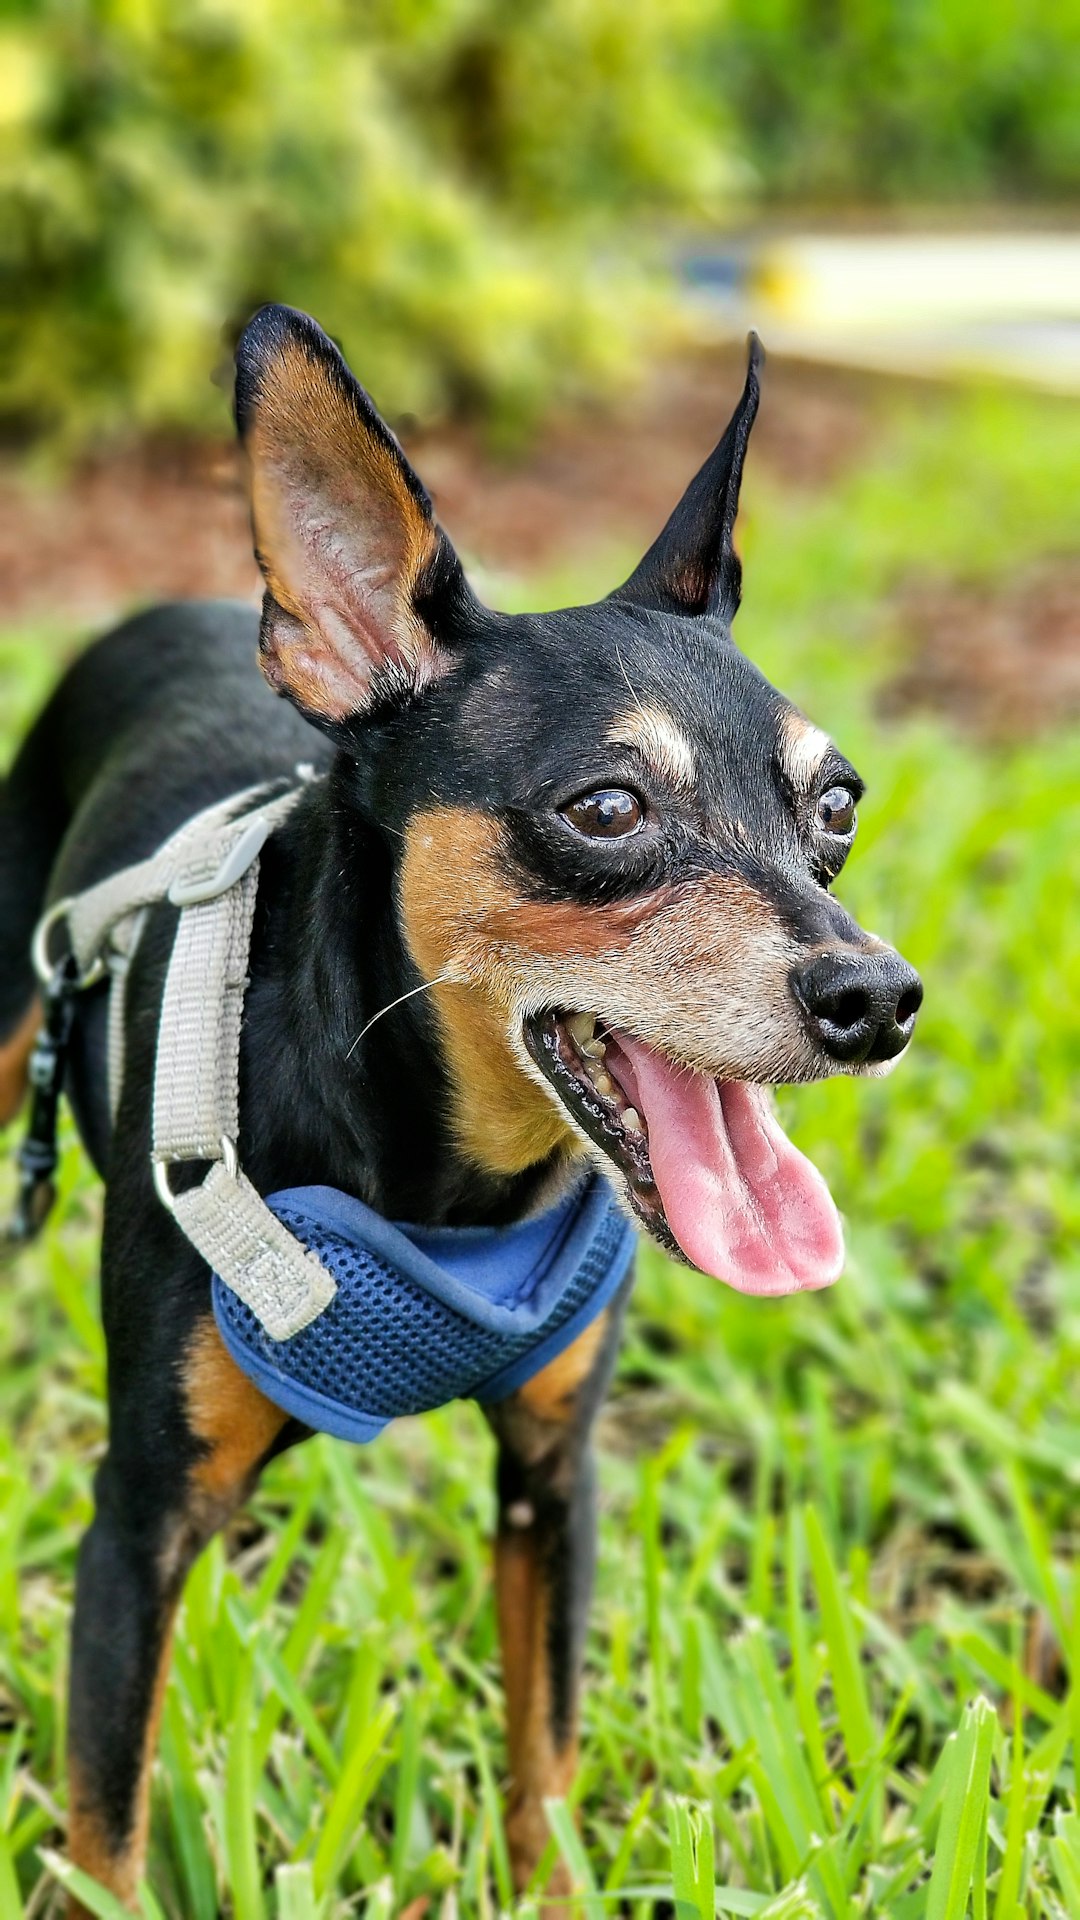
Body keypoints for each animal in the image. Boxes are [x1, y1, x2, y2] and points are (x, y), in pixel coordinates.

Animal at [0, 307, 914, 1912]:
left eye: (839, 806)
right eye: (606, 811)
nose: (875, 997)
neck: (447, 1183)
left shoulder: (554, 1482)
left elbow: (546, 1758)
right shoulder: (138, 1520)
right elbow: (107, 1831)